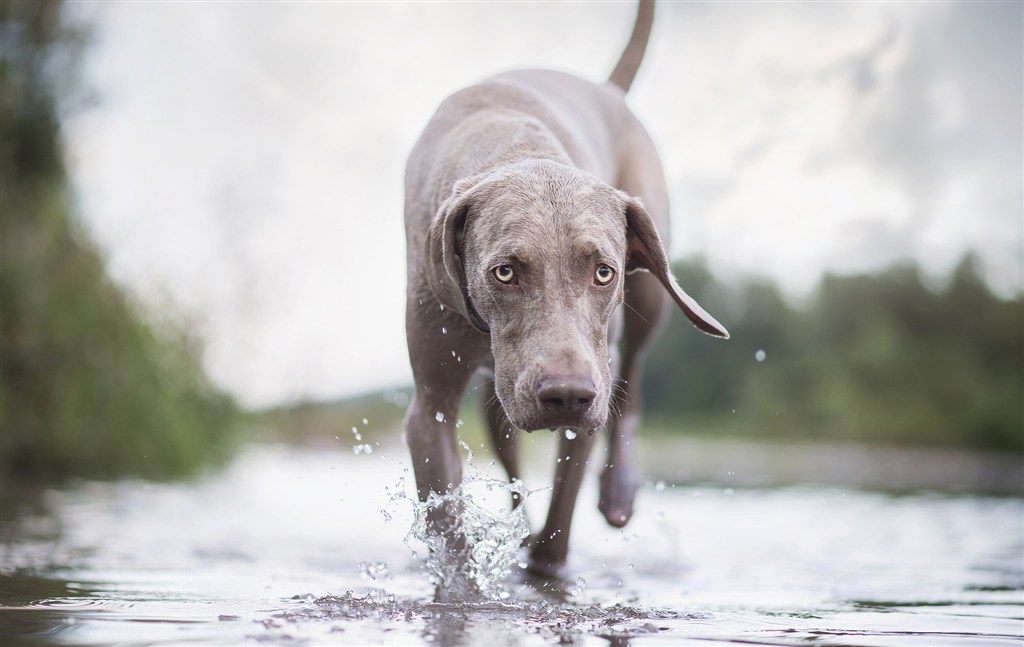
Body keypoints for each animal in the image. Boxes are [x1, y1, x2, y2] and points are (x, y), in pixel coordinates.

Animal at [399, 0, 729, 585]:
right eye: (504, 272)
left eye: (603, 273)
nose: (567, 395)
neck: (516, 149)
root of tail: (607, 89)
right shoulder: (431, 407)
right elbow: (449, 530)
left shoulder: (591, 388)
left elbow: (560, 522)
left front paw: (545, 564)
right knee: (506, 441)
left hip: (647, 305)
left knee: (632, 388)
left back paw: (618, 494)